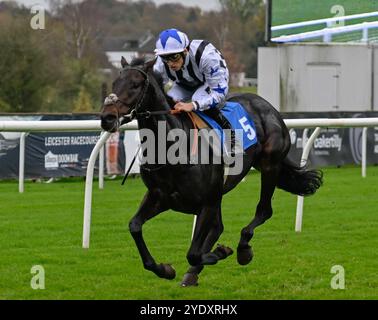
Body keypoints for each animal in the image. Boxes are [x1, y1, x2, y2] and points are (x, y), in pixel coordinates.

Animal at [99, 56, 322, 286]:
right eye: (114, 83)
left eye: (135, 85)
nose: (107, 118)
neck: (171, 147)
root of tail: (267, 106)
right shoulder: (160, 197)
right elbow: (135, 226)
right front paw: (164, 269)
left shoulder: (205, 202)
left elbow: (193, 253)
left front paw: (220, 252)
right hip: (222, 191)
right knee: (218, 227)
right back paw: (194, 271)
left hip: (269, 166)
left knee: (263, 211)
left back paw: (242, 249)